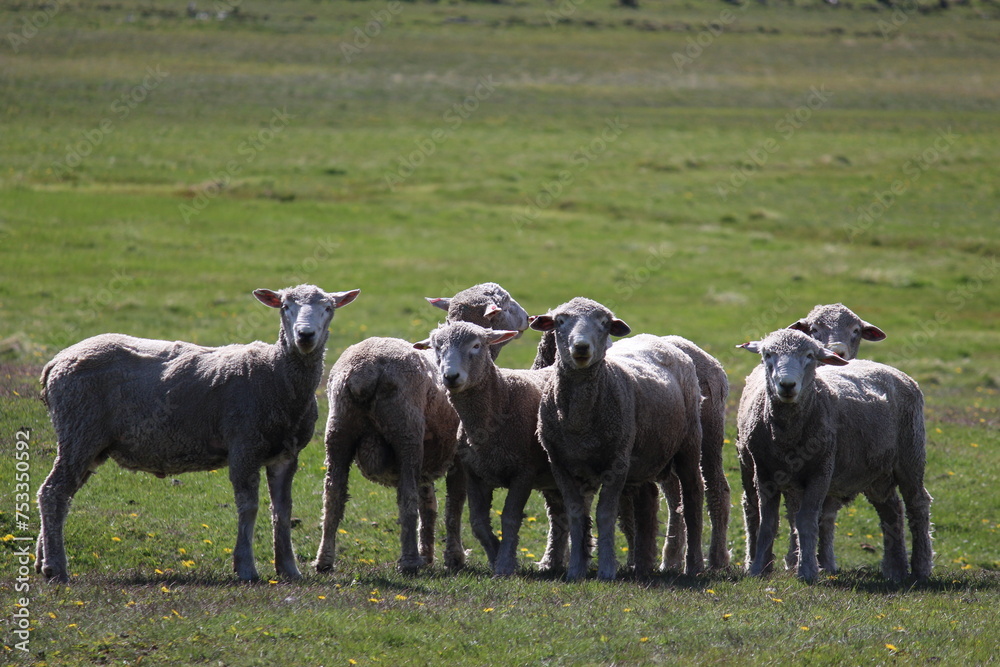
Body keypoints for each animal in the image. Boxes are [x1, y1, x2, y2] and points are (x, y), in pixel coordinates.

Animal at [36, 284, 360, 582]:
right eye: (285, 307)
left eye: (328, 308)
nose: (305, 335)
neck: (276, 374)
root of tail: (56, 361)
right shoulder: (244, 445)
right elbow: (249, 507)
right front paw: (246, 568)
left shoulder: (286, 454)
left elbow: (281, 510)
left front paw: (289, 569)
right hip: (79, 430)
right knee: (53, 492)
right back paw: (56, 568)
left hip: (89, 442)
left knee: (61, 495)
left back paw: (42, 561)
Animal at [415, 321, 572, 576]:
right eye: (437, 347)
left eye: (476, 345)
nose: (450, 376)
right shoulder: (475, 473)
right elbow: (478, 523)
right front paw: (495, 556)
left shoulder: (523, 471)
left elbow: (510, 518)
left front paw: (506, 563)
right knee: (560, 515)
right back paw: (552, 563)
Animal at [531, 298, 705, 581]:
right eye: (560, 321)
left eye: (604, 323)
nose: (581, 347)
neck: (579, 422)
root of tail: (659, 340)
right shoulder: (560, 465)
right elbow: (576, 514)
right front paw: (576, 569)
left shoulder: (617, 463)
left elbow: (605, 514)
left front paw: (606, 569)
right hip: (645, 455)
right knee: (648, 500)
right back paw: (643, 564)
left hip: (688, 443)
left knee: (692, 499)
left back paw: (694, 565)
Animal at [736, 328, 932, 583]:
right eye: (767, 354)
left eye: (810, 355)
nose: (787, 385)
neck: (786, 437)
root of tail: (894, 371)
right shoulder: (764, 473)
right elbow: (767, 521)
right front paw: (758, 568)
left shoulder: (821, 471)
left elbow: (806, 520)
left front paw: (807, 571)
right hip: (877, 472)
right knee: (892, 510)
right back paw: (895, 570)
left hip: (911, 455)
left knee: (917, 503)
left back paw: (921, 568)